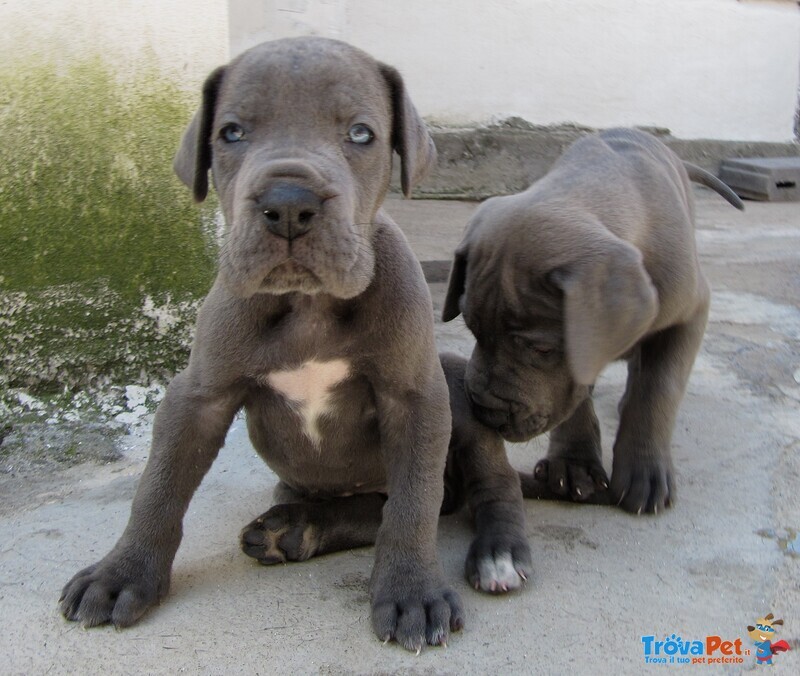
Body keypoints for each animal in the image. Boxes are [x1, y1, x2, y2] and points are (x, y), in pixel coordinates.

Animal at [62, 38, 482, 656]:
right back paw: (292, 527)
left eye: (361, 133)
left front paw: (411, 591)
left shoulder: (414, 397)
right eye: (231, 133)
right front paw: (121, 574)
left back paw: (299, 530)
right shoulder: (198, 397)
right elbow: (158, 488)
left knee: (402, 503)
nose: (288, 203)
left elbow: (413, 502)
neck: (307, 304)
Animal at [440, 129, 740, 516]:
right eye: (473, 330)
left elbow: (658, 388)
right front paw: (573, 464)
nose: (481, 409)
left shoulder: (690, 314)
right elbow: (575, 394)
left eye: (541, 349)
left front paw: (645, 469)